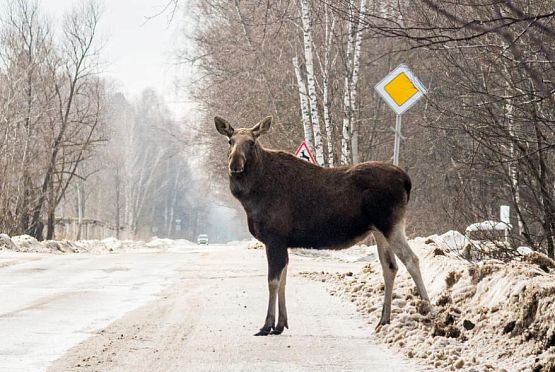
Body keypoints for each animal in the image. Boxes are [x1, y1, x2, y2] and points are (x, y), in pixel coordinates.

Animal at [215, 115, 432, 336]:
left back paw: (430, 314)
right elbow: (283, 280)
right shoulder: (283, 242)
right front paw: (281, 324)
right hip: (379, 230)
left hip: (391, 224)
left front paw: (267, 325)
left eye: (251, 142)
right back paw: (384, 320)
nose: (235, 164)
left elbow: (273, 281)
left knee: (412, 260)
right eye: (230, 141)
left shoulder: (274, 238)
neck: (251, 197)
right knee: (390, 266)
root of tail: (406, 180)